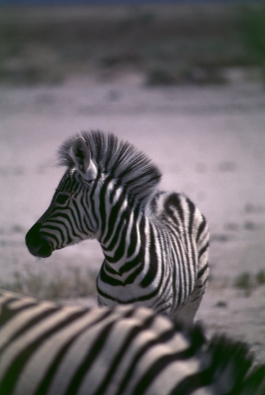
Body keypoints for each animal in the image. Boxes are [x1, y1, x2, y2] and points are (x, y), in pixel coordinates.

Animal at [25, 131, 208, 326]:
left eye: (61, 198)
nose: (28, 241)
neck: (121, 268)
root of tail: (172, 194)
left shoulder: (158, 313)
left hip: (194, 297)